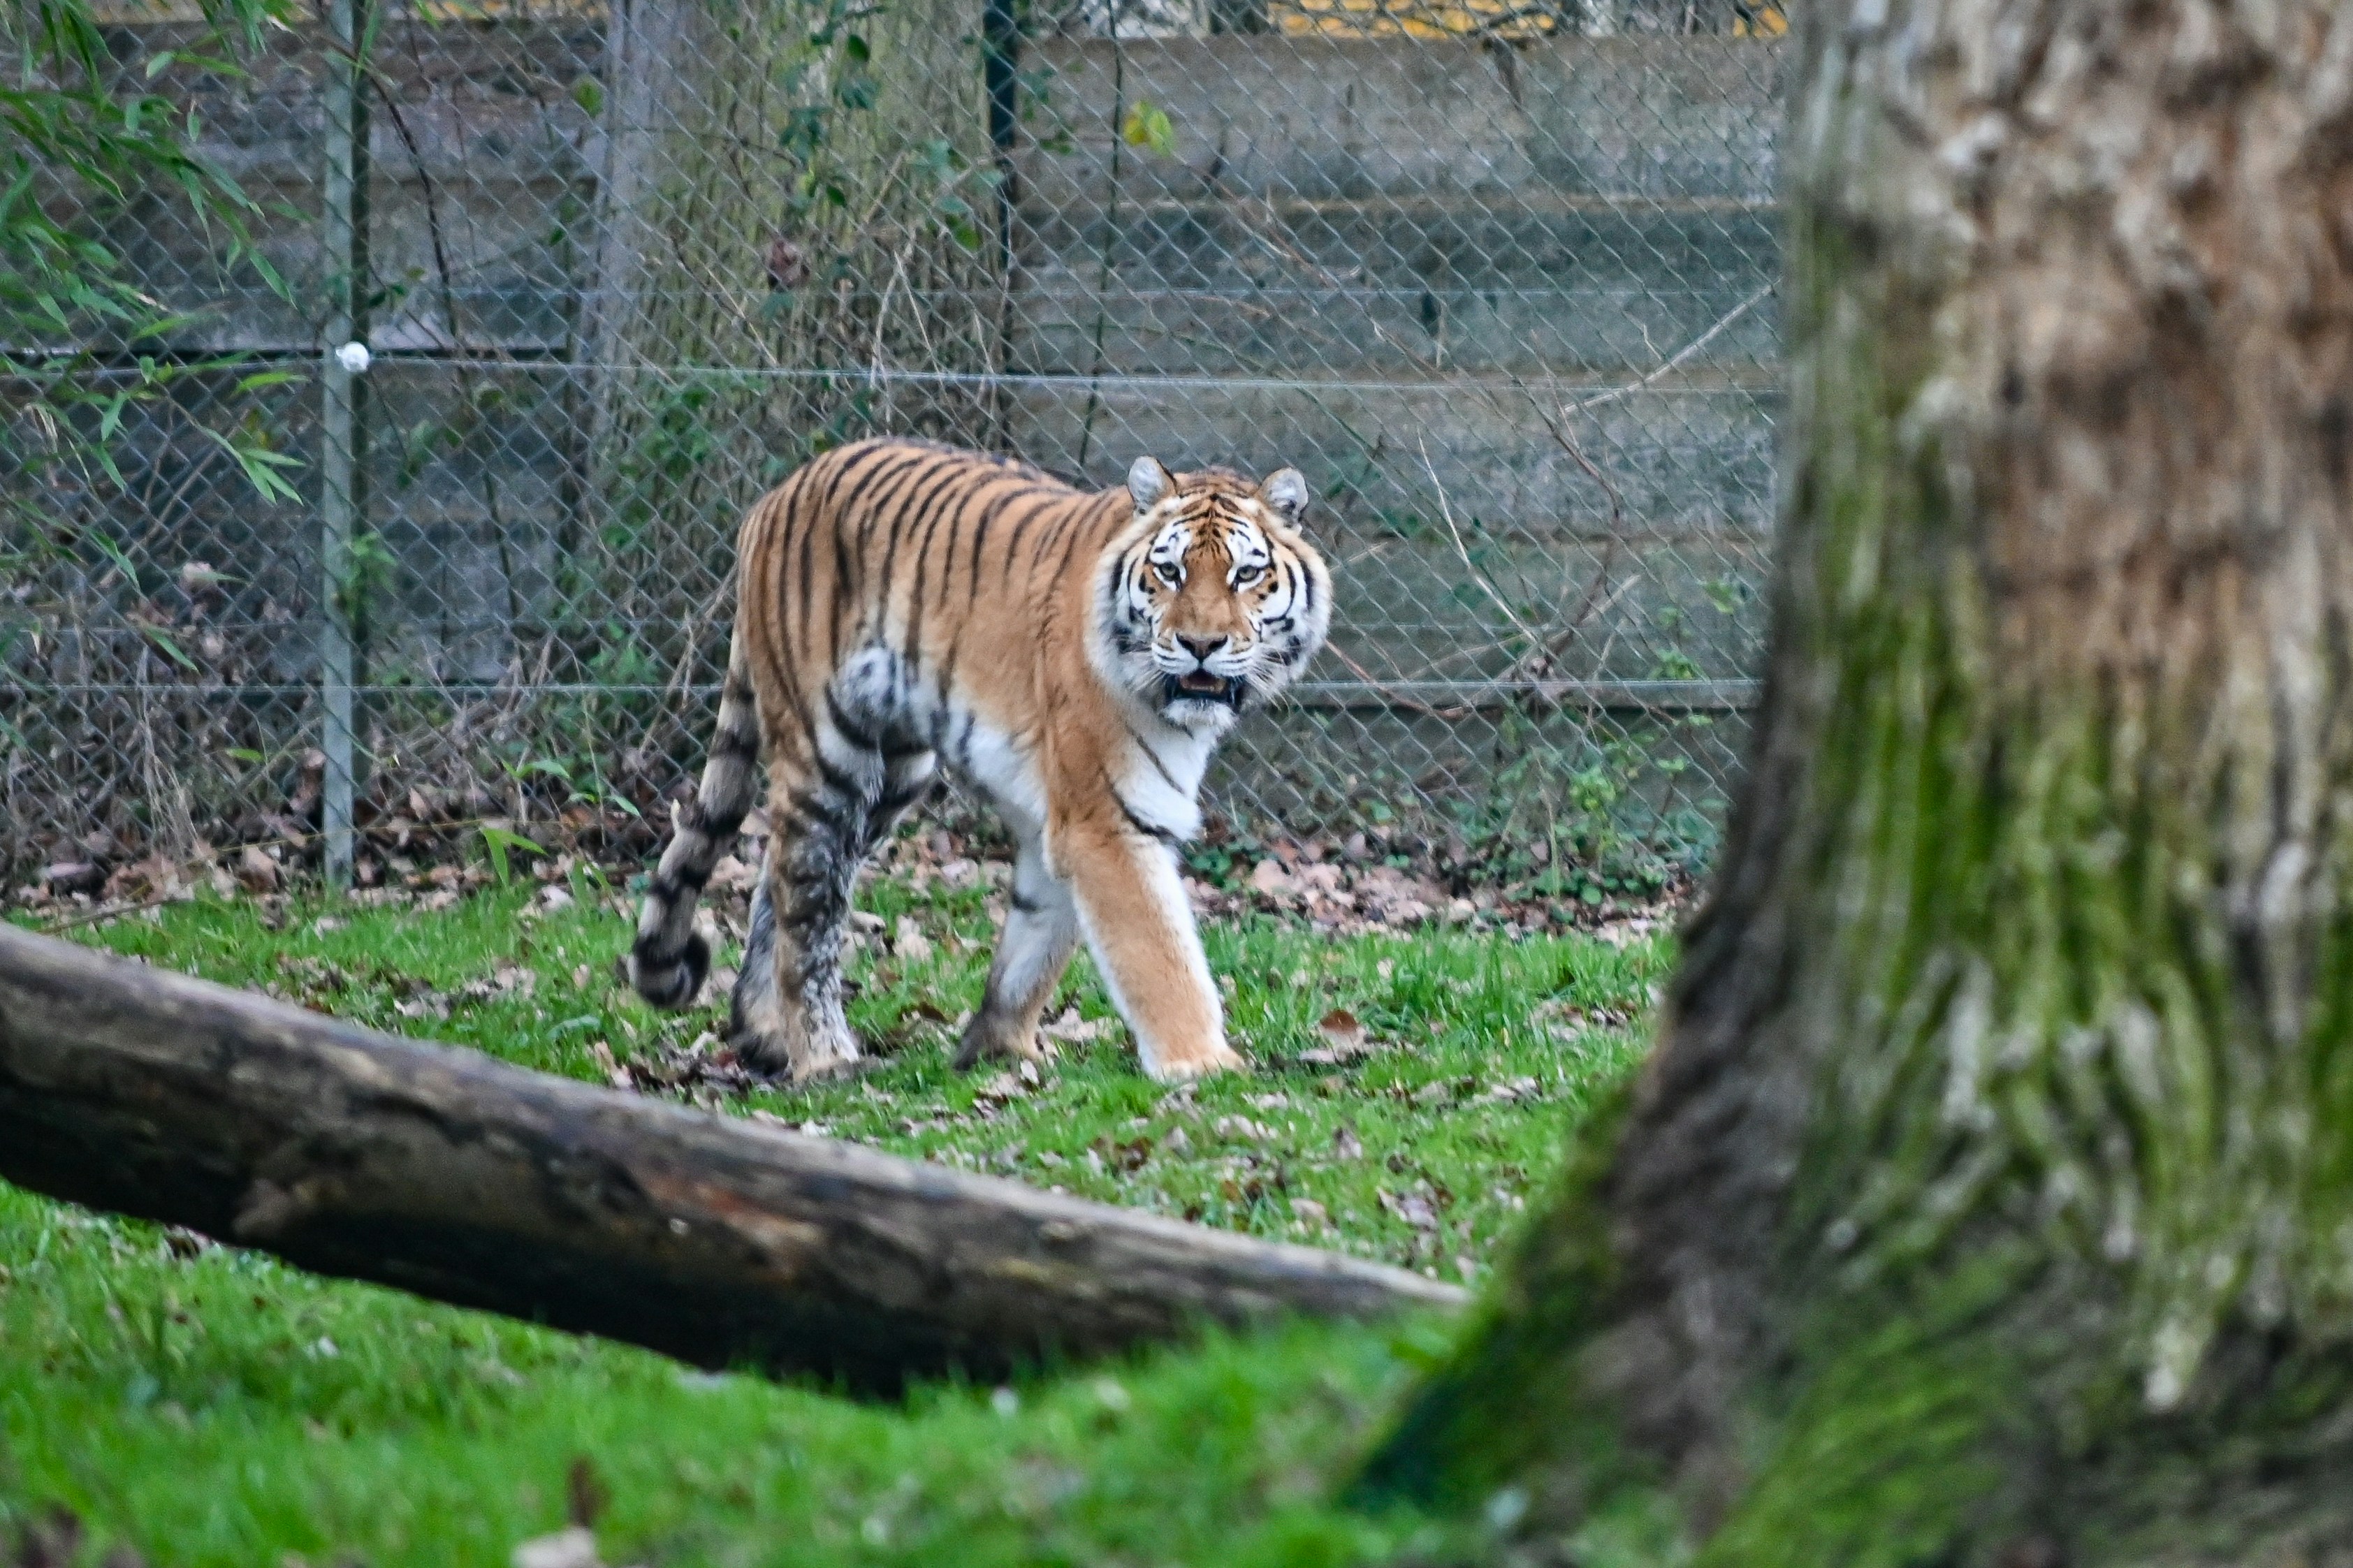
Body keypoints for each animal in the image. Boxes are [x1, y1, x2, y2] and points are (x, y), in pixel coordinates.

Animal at [626, 437, 1333, 1085]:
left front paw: (1000, 1051)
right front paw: (1203, 1064)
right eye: (1171, 572)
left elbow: (1033, 946)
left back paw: (766, 1036)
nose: (1201, 645)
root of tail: (772, 499)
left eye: (1246, 575)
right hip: (828, 751)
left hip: (894, 775)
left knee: (776, 878)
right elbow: (1160, 955)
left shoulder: (1061, 819)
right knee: (808, 904)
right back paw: (823, 1057)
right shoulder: (1107, 820)